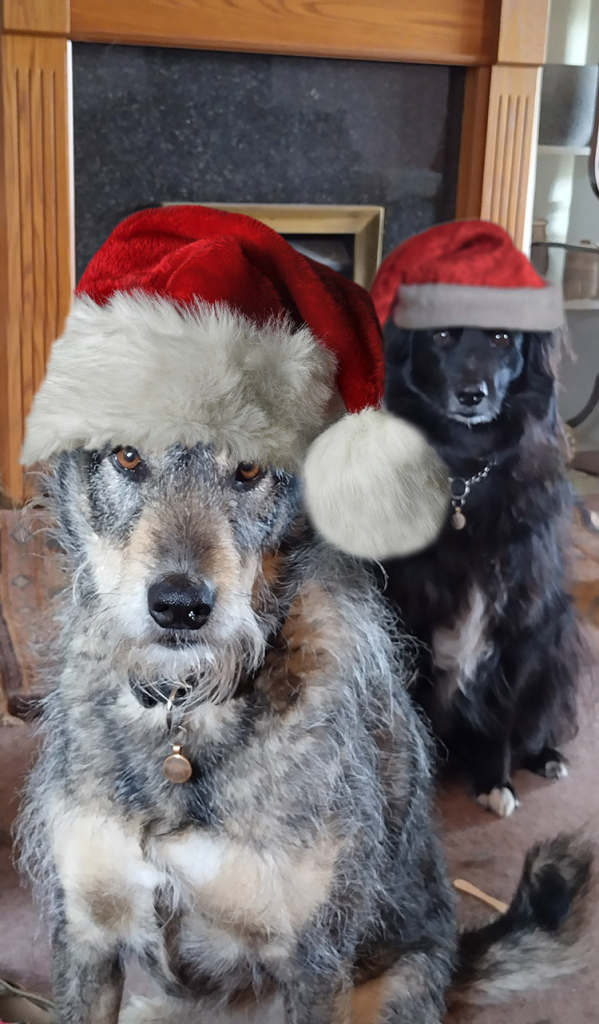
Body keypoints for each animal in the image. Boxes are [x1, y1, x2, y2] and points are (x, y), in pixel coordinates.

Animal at [17, 446, 589, 1024]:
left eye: (249, 468)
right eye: (128, 455)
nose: (181, 606)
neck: (185, 713)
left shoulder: (312, 963)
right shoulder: (85, 931)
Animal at [380, 323, 581, 819]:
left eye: (502, 337)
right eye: (441, 335)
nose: (472, 395)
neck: (463, 474)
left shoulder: (519, 619)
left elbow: (503, 711)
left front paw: (495, 781)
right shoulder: (409, 617)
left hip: (559, 633)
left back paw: (546, 757)